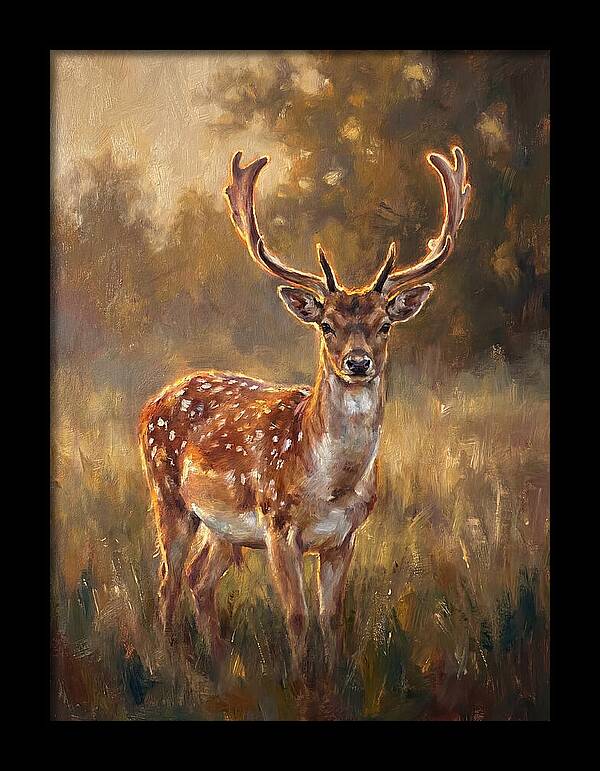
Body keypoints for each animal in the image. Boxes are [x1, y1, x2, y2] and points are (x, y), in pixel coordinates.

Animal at [139, 145, 470, 678]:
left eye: (384, 324)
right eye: (327, 325)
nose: (358, 362)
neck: (331, 487)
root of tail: (154, 400)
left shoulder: (344, 537)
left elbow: (330, 617)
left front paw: (331, 680)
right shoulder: (278, 527)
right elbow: (295, 616)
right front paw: (299, 683)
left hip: (223, 528)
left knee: (197, 579)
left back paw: (219, 663)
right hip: (168, 496)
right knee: (168, 580)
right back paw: (171, 663)